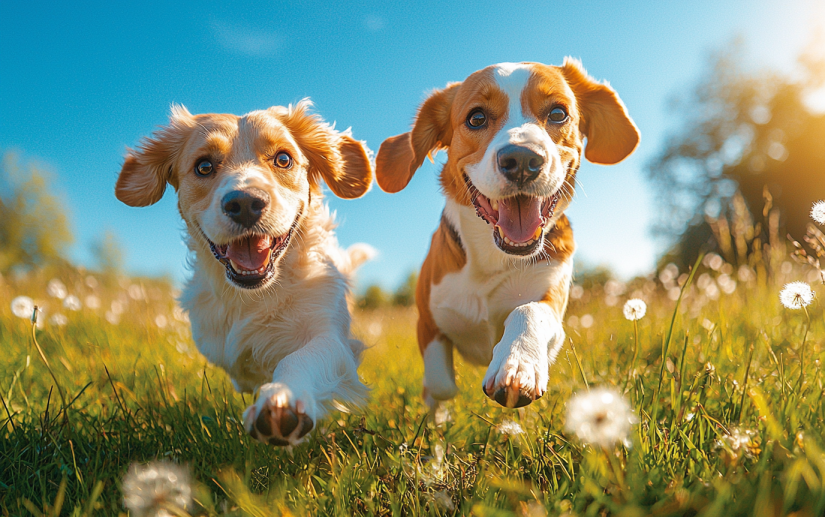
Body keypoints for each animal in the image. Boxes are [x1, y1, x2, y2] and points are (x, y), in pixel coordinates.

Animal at [116, 101, 374, 444]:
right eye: (204, 166)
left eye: (283, 159)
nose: (246, 202)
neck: (255, 293)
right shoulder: (217, 342)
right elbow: (242, 365)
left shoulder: (330, 333)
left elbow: (299, 358)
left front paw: (281, 402)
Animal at [374, 59, 636, 408]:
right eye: (476, 118)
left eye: (558, 113)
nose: (523, 159)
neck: (492, 258)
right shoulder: (428, 322)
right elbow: (441, 384)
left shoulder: (552, 300)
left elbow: (528, 311)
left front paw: (518, 364)